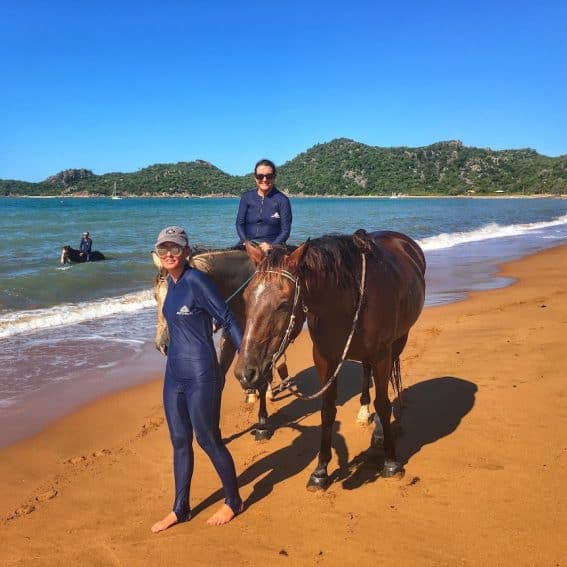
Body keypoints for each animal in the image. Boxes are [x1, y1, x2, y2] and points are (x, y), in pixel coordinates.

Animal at [235, 229, 426, 490]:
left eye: (283, 304)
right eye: (245, 298)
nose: (245, 372)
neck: (349, 298)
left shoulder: (382, 355)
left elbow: (383, 403)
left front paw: (391, 462)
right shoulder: (325, 358)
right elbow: (327, 411)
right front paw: (320, 471)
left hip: (398, 342)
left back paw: (378, 430)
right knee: (365, 372)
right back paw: (363, 411)